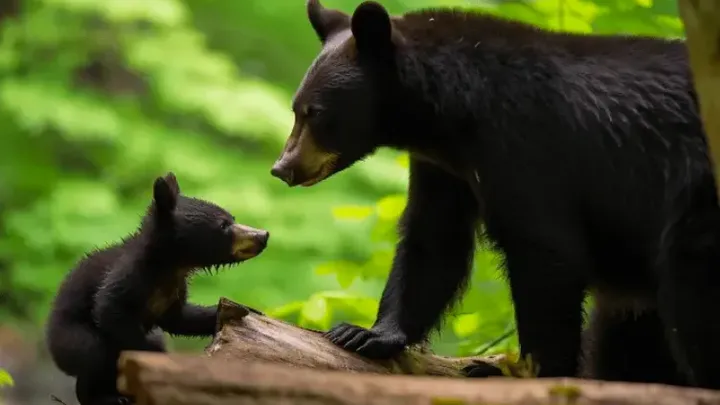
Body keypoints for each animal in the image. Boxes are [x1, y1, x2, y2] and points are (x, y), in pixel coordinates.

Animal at [45, 172, 270, 405]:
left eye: (232, 218)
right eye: (223, 225)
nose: (263, 235)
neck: (169, 266)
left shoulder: (174, 289)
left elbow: (179, 319)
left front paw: (245, 311)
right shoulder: (130, 275)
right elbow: (110, 310)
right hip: (69, 338)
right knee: (93, 352)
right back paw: (105, 396)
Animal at [269, 0, 720, 389]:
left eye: (315, 113)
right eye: (296, 108)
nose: (283, 168)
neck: (456, 116)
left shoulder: (526, 146)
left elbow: (546, 253)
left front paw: (527, 370)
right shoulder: (445, 167)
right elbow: (433, 239)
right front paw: (367, 334)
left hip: (694, 200)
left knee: (690, 295)